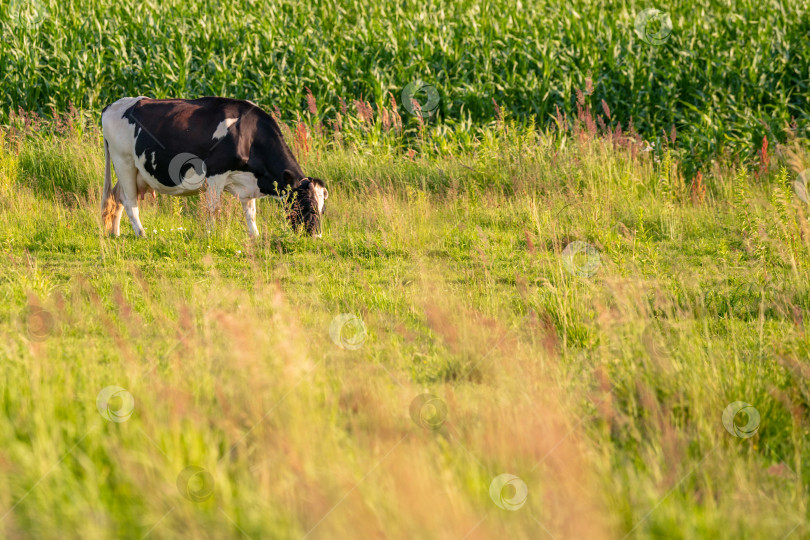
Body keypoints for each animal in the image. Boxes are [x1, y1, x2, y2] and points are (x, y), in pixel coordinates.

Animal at [99, 95, 326, 238]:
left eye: (322, 210)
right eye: (308, 207)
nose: (317, 237)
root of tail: (112, 105)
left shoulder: (247, 183)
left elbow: (250, 212)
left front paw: (255, 236)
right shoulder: (216, 173)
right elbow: (212, 208)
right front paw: (210, 235)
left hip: (137, 172)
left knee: (118, 197)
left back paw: (115, 233)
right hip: (124, 161)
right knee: (130, 202)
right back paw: (141, 233)